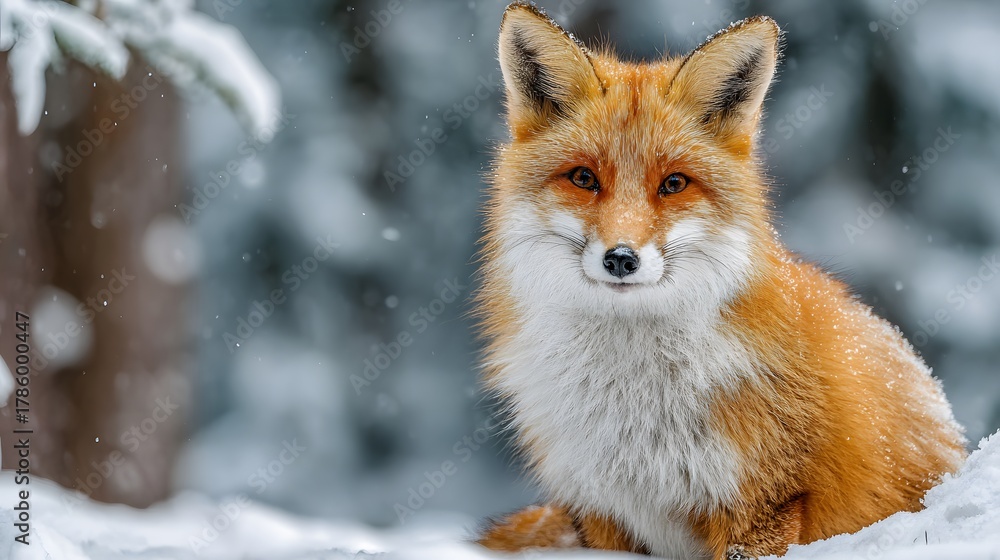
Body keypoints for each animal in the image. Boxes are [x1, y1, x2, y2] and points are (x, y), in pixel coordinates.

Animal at [473, 3, 967, 559]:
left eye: (673, 183)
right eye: (583, 178)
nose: (621, 259)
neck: (633, 402)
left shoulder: (764, 500)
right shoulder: (602, 509)